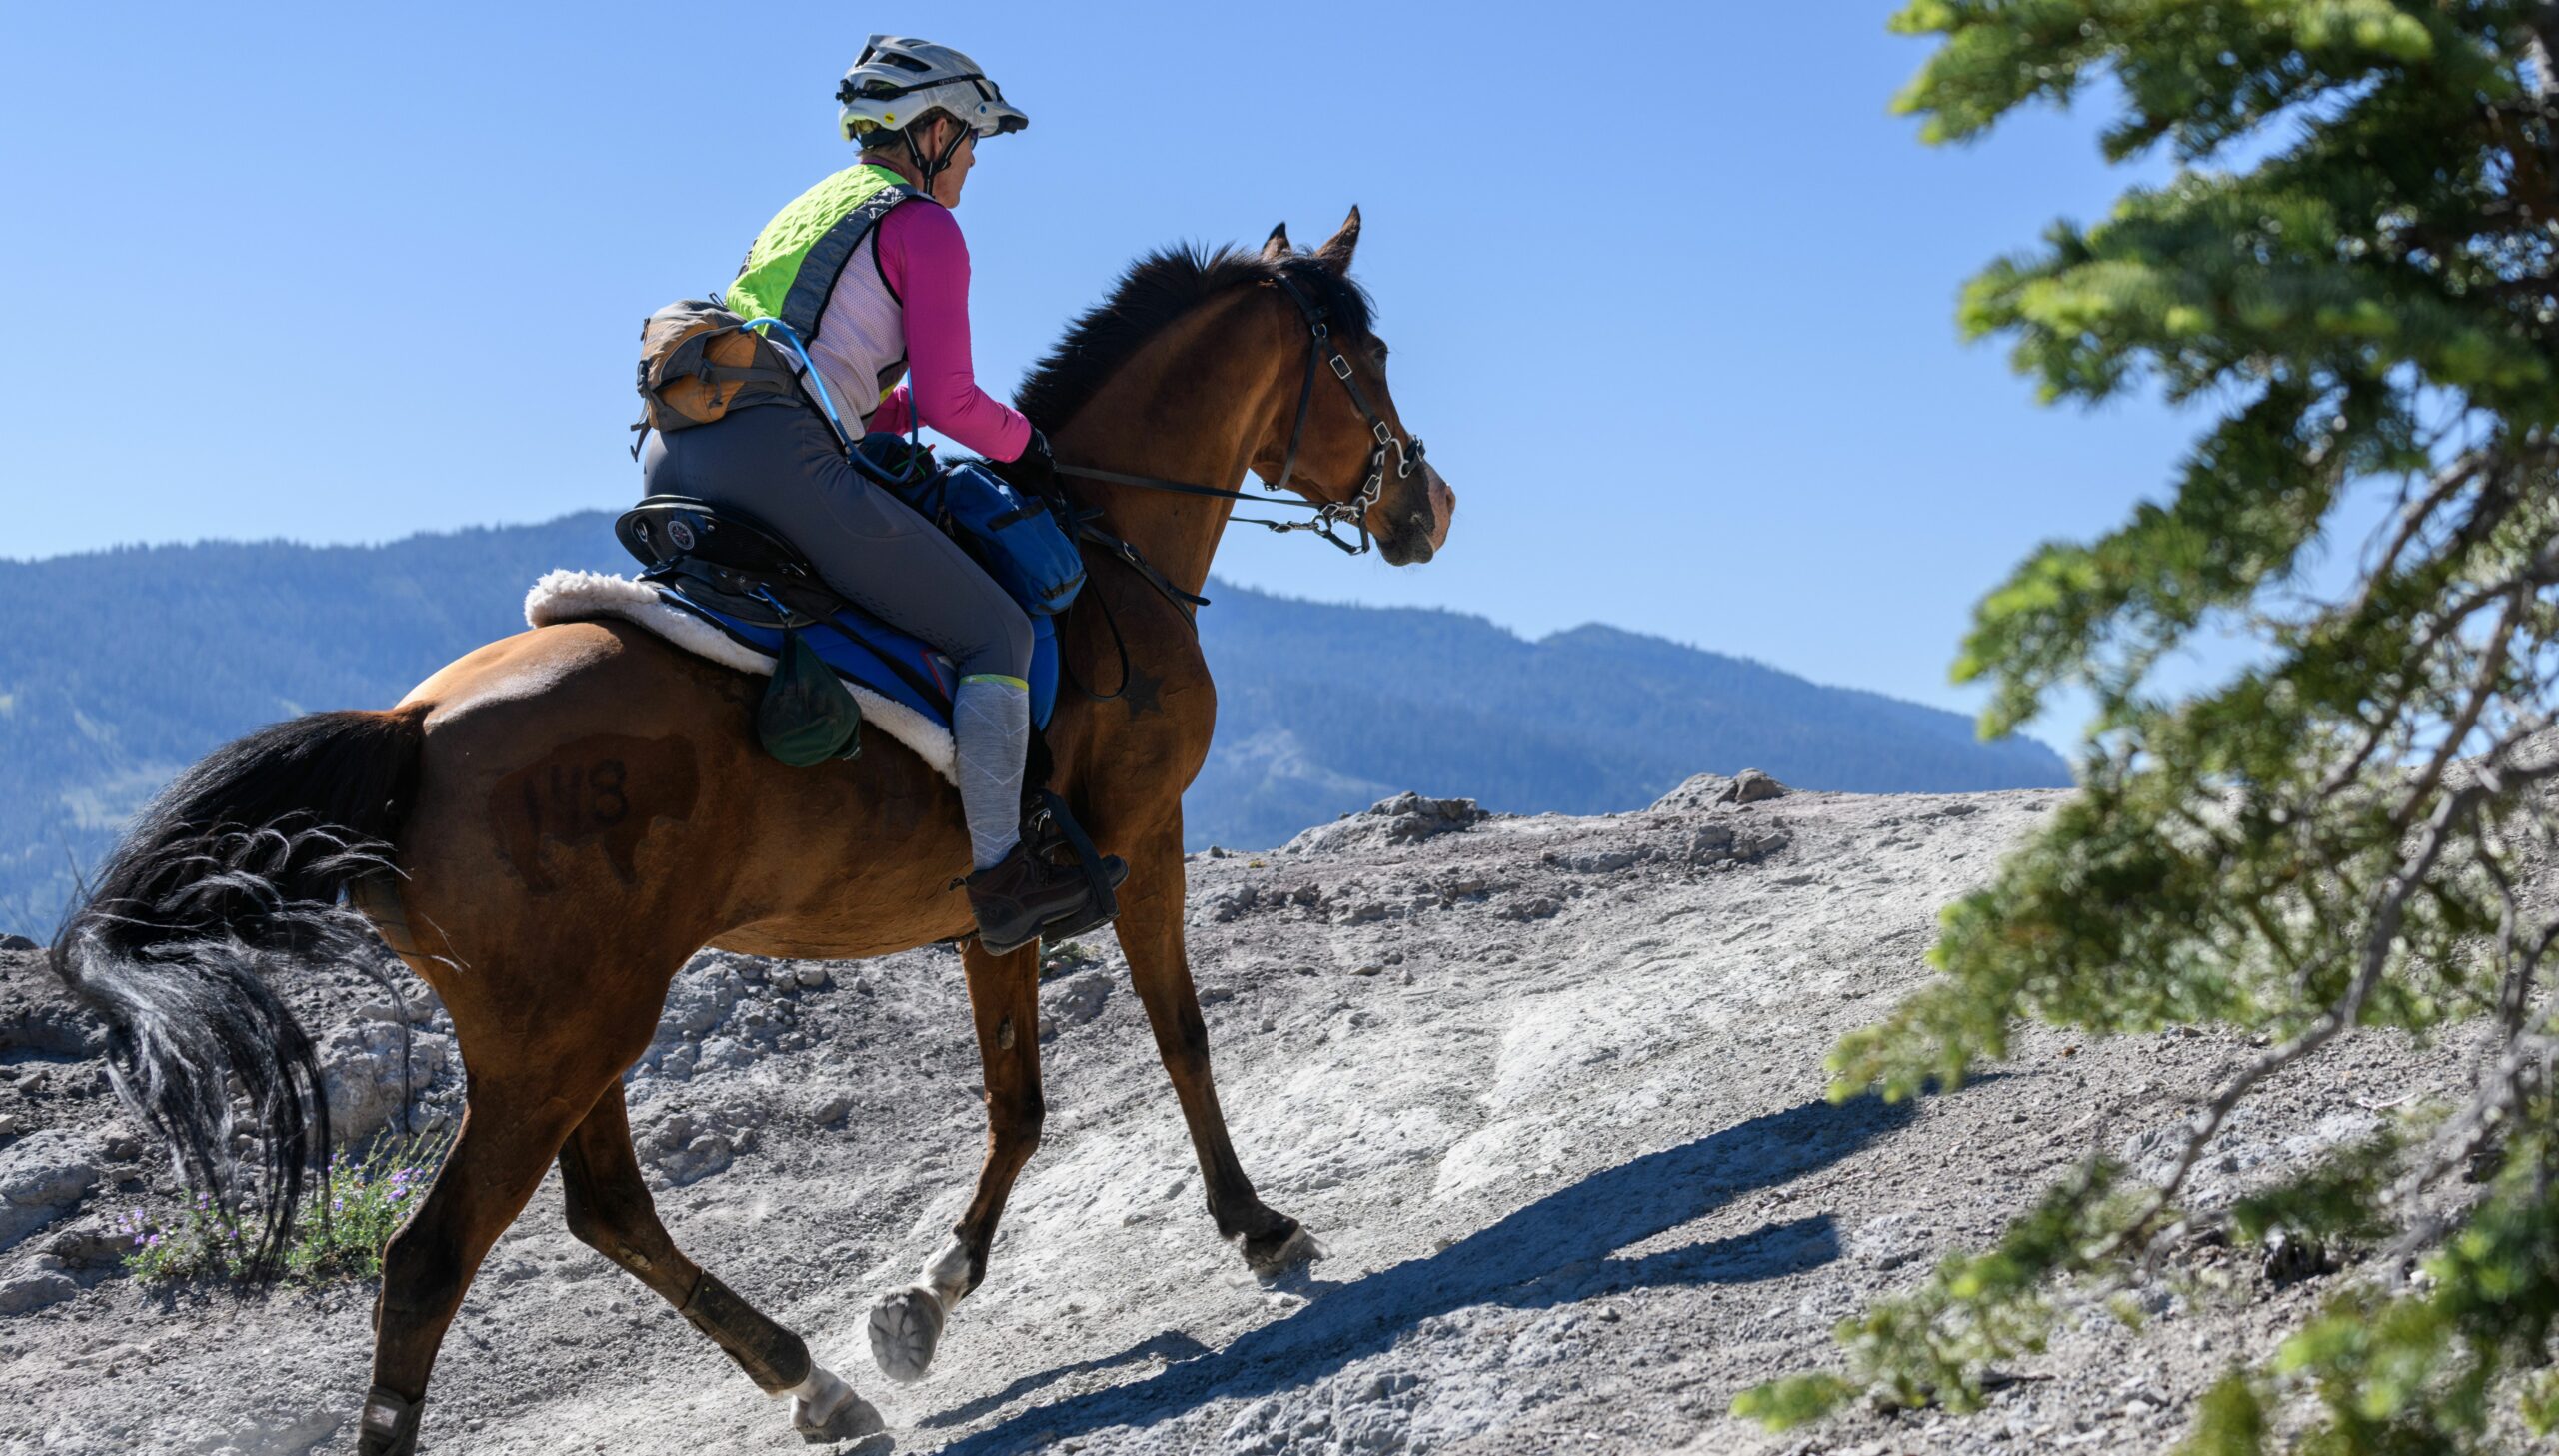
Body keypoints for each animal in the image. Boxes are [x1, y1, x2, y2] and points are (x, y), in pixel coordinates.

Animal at [55, 207, 1463, 1453]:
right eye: (1370, 359)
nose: (1428, 505)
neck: (1103, 548)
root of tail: (411, 728)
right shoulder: (1140, 833)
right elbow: (1179, 1035)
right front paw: (1258, 1223)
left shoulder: (998, 904)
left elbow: (1016, 1101)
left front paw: (921, 1306)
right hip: (569, 1031)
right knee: (434, 1256)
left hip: (563, 1027)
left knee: (606, 1206)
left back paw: (815, 1382)